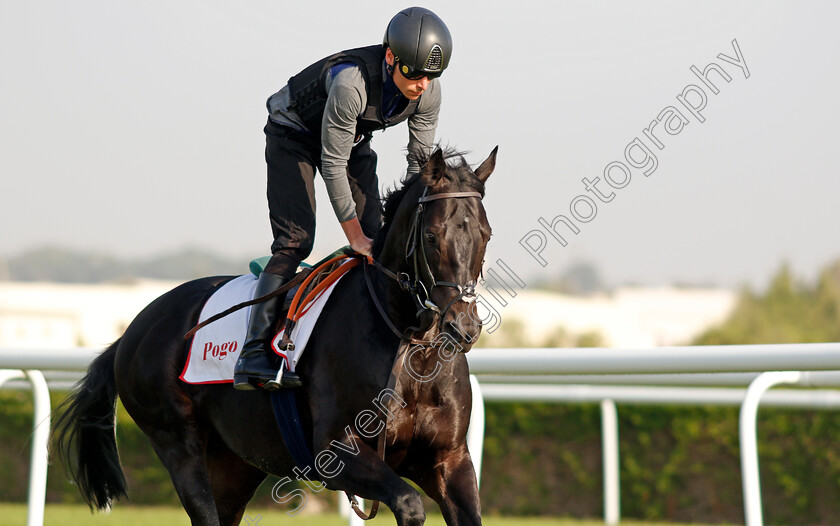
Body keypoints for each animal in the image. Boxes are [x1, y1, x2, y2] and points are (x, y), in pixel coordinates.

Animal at [52, 146, 496, 526]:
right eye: (432, 236)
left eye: (485, 234)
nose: (463, 327)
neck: (410, 347)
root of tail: (132, 333)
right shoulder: (335, 454)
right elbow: (408, 502)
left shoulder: (449, 459)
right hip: (177, 444)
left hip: (235, 463)